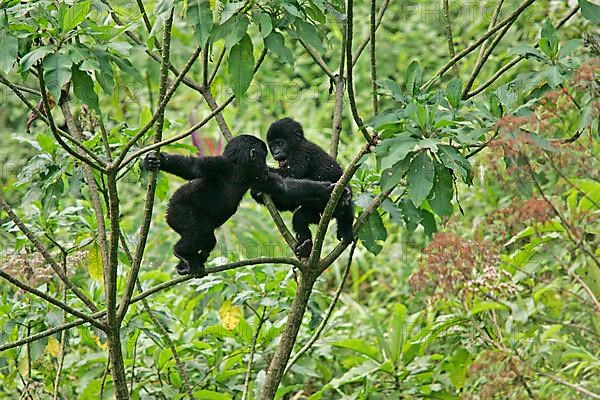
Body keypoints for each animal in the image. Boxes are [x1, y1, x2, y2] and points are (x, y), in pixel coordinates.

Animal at [143, 134, 336, 276]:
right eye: (263, 157)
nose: (266, 167)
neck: (240, 171)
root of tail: (167, 213)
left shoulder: (259, 179)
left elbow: (285, 188)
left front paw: (325, 189)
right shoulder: (219, 165)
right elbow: (192, 168)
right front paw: (155, 161)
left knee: (209, 238)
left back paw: (187, 265)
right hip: (177, 212)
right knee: (200, 228)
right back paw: (182, 253)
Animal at [251, 117, 354, 258]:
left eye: (280, 144)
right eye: (272, 146)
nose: (276, 153)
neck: (297, 145)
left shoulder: (302, 153)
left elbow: (290, 176)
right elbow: (289, 202)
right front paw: (257, 193)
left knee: (345, 206)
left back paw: (346, 227)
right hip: (317, 214)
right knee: (300, 218)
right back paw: (306, 247)